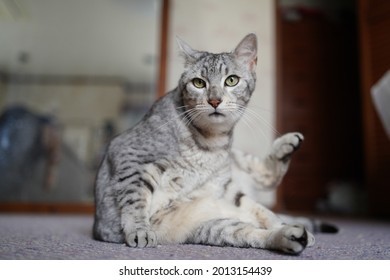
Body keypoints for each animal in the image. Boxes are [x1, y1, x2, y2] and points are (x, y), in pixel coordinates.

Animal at [93, 34, 316, 255]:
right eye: (199, 83)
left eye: (232, 80)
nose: (214, 100)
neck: (211, 142)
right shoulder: (132, 155)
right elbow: (135, 197)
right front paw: (140, 229)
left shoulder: (221, 184)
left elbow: (261, 209)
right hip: (213, 226)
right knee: (253, 229)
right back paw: (291, 235)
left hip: (231, 182)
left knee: (265, 189)